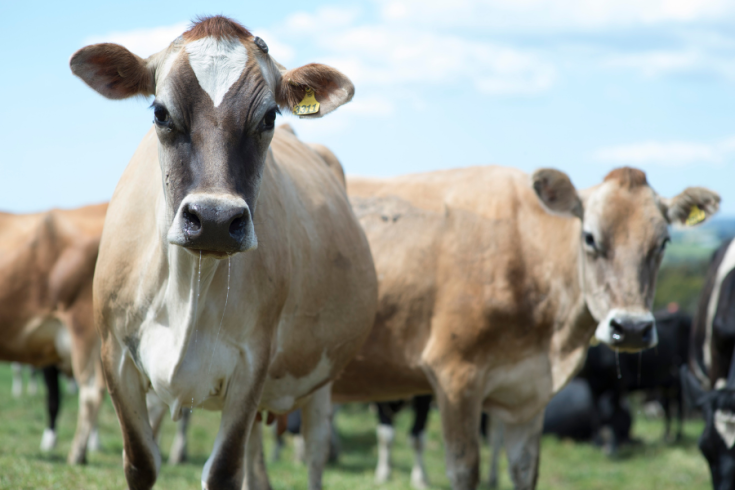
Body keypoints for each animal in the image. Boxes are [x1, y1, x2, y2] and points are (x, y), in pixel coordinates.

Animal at [70, 15, 377, 490]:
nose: (214, 218)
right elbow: (141, 462)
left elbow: (224, 471)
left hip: (321, 380)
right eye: (160, 112)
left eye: (268, 116)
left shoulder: (252, 365)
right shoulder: (114, 355)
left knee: (315, 453)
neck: (188, 288)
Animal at [321, 166, 719, 490]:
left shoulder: (528, 392)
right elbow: (464, 470)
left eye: (664, 241)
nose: (632, 328)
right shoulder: (454, 377)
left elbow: (525, 469)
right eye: (590, 237)